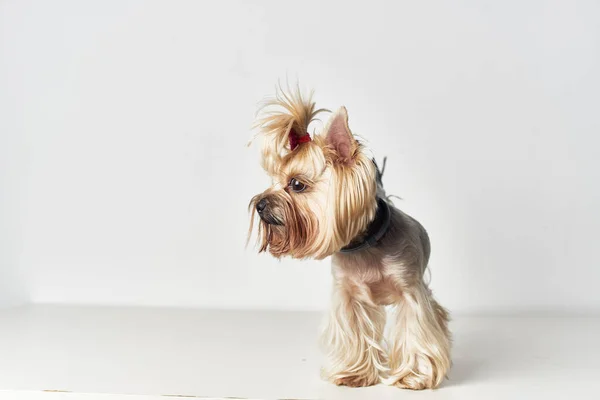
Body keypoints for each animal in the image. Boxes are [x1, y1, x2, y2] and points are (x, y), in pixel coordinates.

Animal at [248, 86, 450, 390]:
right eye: (272, 181)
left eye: (296, 184)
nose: (259, 204)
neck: (365, 244)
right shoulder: (348, 296)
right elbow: (354, 332)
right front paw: (353, 373)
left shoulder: (411, 291)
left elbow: (415, 330)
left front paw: (414, 376)